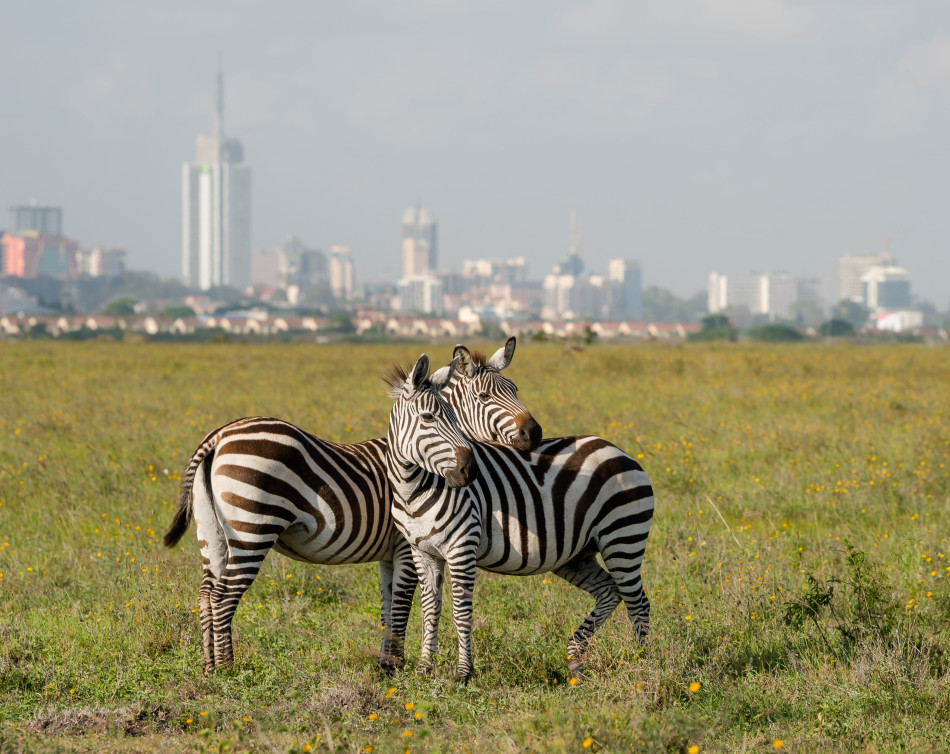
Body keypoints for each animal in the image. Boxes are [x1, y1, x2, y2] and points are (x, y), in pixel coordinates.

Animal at [165, 338, 544, 672]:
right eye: (484, 396)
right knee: (223, 596)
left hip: (212, 532)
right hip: (252, 529)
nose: (535, 433)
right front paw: (395, 665)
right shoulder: (406, 546)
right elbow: (402, 604)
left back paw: (209, 667)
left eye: (515, 390)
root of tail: (218, 436)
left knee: (206, 593)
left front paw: (386, 664)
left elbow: (388, 605)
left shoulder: (390, 553)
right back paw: (228, 669)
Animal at [386, 374, 656, 680]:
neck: (414, 491)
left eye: (454, 417)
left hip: (623, 537)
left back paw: (641, 664)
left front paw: (464, 673)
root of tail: (618, 450)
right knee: (610, 592)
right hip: (577, 555)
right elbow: (430, 611)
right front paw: (423, 670)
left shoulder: (461, 547)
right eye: (428, 417)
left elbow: (461, 612)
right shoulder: (423, 552)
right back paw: (576, 658)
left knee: (638, 603)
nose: (470, 471)